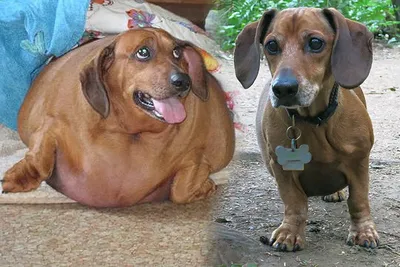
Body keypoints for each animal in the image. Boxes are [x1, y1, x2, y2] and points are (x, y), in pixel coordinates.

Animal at [2, 27, 234, 207]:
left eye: (177, 52)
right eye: (143, 52)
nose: (184, 81)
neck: (132, 133)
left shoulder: (195, 157)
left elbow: (180, 190)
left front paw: (204, 186)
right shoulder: (50, 125)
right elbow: (39, 158)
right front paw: (22, 175)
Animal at [234, 7, 378, 251]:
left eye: (315, 43)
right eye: (271, 45)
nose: (282, 89)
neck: (314, 121)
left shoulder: (359, 161)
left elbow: (358, 200)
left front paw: (363, 232)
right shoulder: (282, 169)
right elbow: (295, 204)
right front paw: (289, 233)